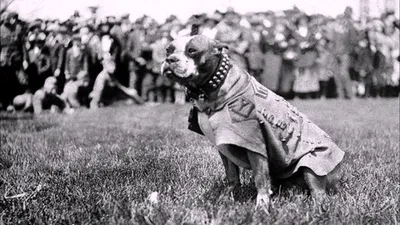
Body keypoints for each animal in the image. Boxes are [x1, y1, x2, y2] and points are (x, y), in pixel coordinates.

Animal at [161, 35, 346, 209]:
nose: (170, 60)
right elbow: (232, 176)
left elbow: (260, 177)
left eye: (192, 51)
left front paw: (262, 206)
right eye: (168, 51)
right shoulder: (224, 147)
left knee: (318, 191)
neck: (214, 86)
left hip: (314, 164)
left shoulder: (255, 146)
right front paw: (227, 197)